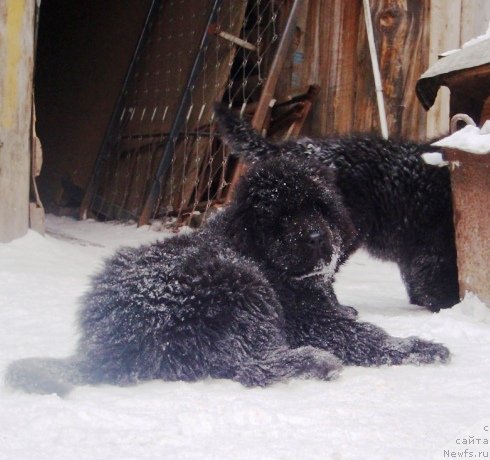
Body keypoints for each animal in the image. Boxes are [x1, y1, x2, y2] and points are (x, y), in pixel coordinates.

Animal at [4, 155, 448, 396]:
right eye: (280, 218)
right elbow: (363, 336)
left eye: (319, 207)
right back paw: (313, 363)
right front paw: (416, 347)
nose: (316, 237)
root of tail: (106, 344)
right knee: (245, 366)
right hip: (239, 283)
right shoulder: (305, 319)